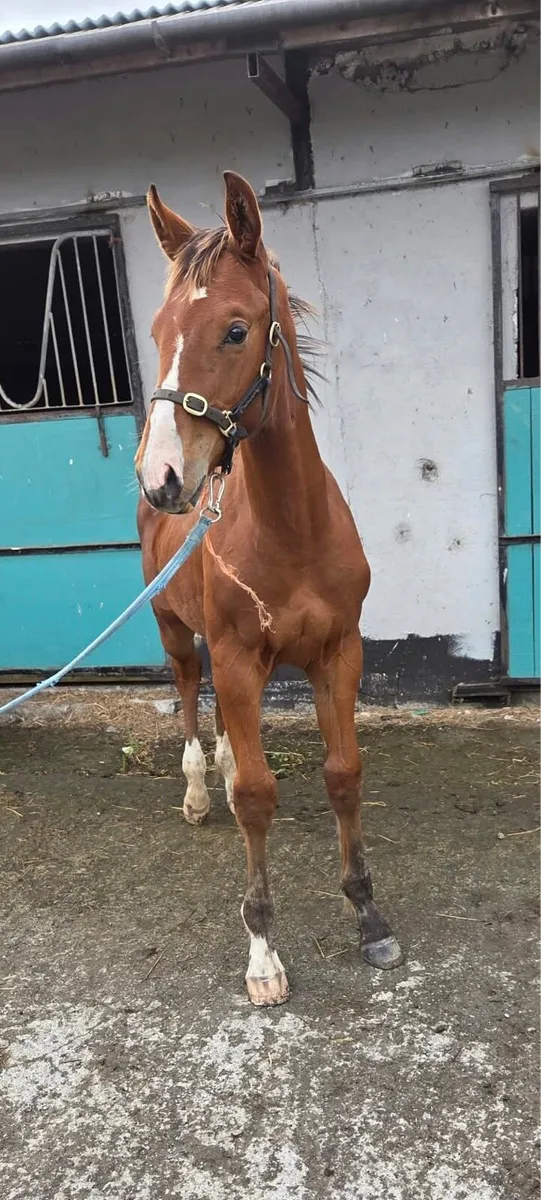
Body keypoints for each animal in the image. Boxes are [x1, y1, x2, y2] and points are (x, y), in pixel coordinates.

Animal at [135, 171, 403, 1006]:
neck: (290, 530)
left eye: (234, 330)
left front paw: (369, 918)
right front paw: (262, 953)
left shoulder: (337, 653)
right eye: (156, 330)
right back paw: (198, 792)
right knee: (192, 700)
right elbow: (257, 797)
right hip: (178, 634)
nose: (161, 478)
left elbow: (343, 776)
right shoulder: (237, 657)